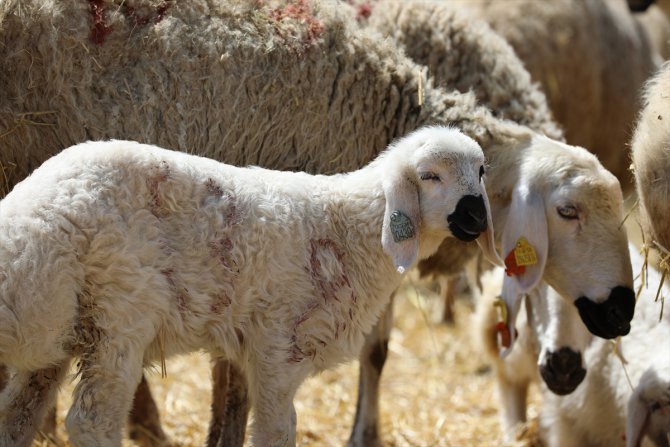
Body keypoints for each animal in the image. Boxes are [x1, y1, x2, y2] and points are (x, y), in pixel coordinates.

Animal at [0, 127, 502, 447]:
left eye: (481, 171)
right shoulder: (277, 349)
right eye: (429, 175)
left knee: (17, 417)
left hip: (65, 327)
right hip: (118, 312)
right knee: (91, 421)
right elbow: (276, 432)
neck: (350, 227)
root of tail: (32, 216)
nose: (477, 216)